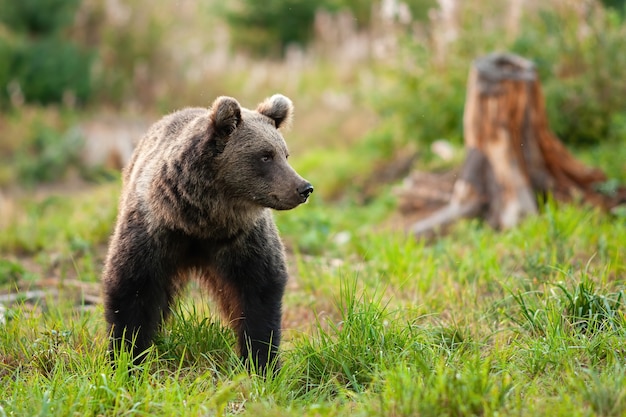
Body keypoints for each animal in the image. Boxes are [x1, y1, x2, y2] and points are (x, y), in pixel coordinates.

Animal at [102, 93, 312, 370]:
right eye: (266, 156)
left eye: (285, 154)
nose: (304, 188)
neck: (201, 222)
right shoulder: (153, 231)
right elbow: (131, 288)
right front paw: (126, 357)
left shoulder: (244, 240)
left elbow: (260, 294)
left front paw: (261, 361)